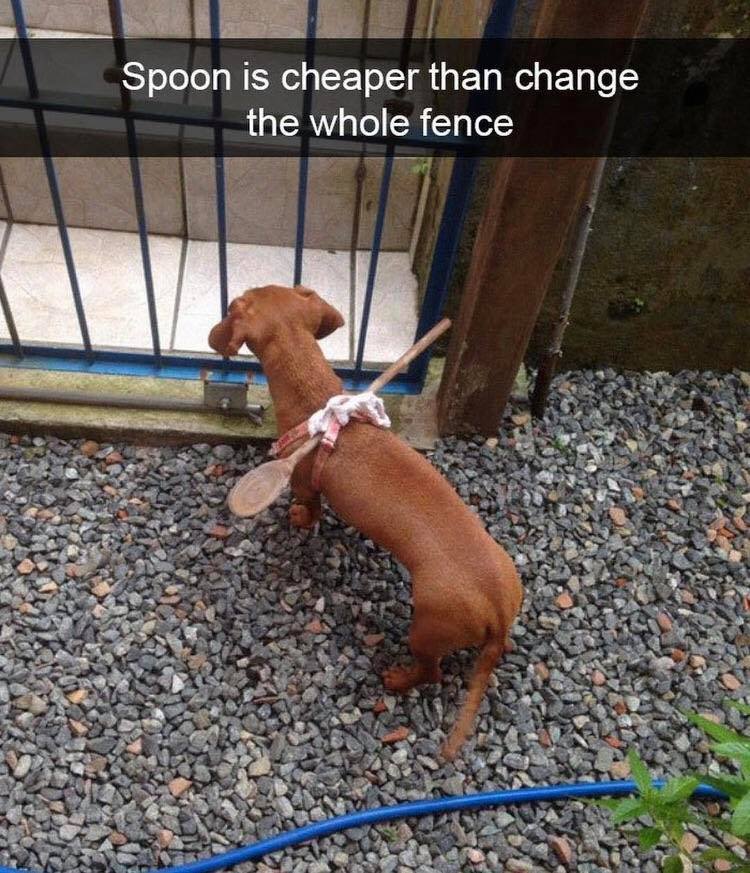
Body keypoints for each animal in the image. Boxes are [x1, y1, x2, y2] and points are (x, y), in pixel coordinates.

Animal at [209, 284, 524, 756]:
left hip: (426, 628)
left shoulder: (303, 481)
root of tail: (499, 612)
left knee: (431, 671)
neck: (317, 397)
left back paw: (398, 678)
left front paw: (300, 518)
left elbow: (310, 506)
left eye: (236, 302)